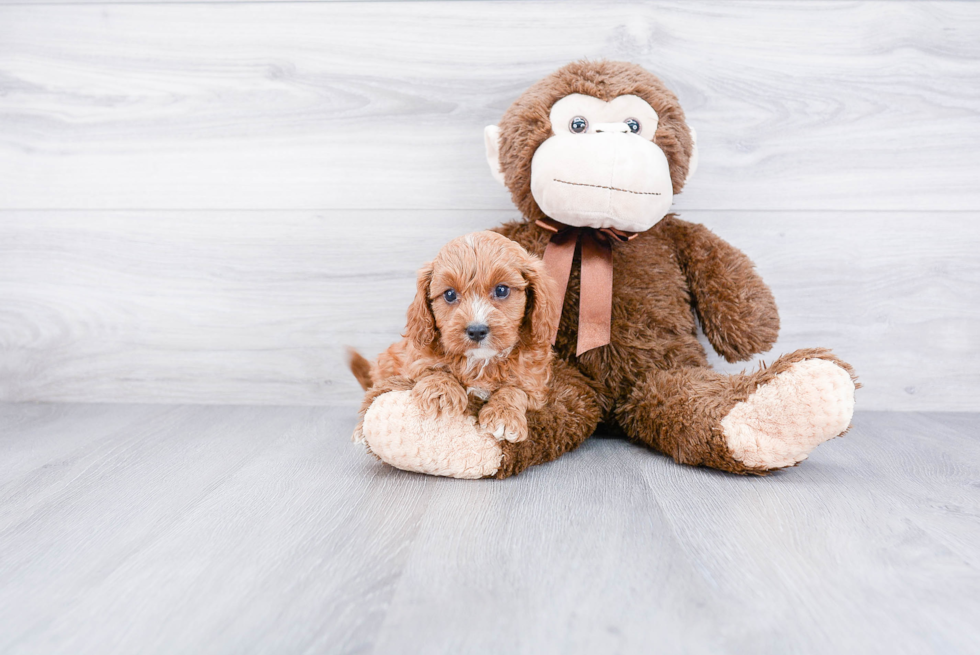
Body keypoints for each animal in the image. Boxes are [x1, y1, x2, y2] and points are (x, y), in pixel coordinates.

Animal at [348, 229, 556, 440]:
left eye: (501, 290)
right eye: (449, 294)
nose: (476, 330)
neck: (479, 362)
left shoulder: (534, 383)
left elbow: (515, 390)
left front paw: (504, 415)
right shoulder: (414, 361)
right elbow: (432, 369)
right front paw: (440, 391)